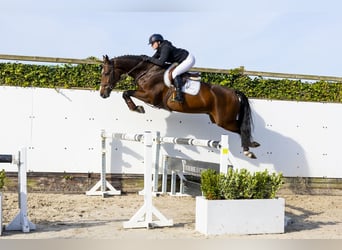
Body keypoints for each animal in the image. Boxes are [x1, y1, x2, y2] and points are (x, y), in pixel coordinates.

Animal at [100, 54, 260, 158]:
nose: (102, 94)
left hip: (224, 121)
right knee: (240, 128)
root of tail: (233, 91)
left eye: (107, 73)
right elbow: (126, 93)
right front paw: (136, 108)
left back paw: (249, 149)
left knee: (241, 128)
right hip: (217, 119)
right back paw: (252, 145)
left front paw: (137, 108)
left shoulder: (150, 97)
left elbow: (126, 92)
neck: (147, 72)